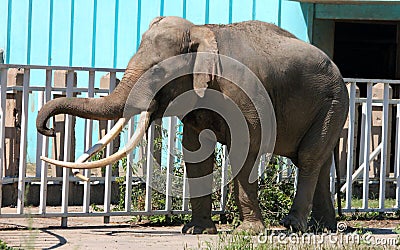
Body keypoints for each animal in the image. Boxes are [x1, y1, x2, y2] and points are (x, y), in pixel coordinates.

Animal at [38, 16, 350, 233]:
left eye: (158, 73)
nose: (48, 128)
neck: (202, 30)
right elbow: (196, 151)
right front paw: (197, 230)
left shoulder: (242, 91)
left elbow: (245, 147)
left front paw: (248, 231)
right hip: (331, 107)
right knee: (319, 161)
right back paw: (324, 228)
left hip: (333, 102)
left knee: (308, 159)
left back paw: (293, 225)